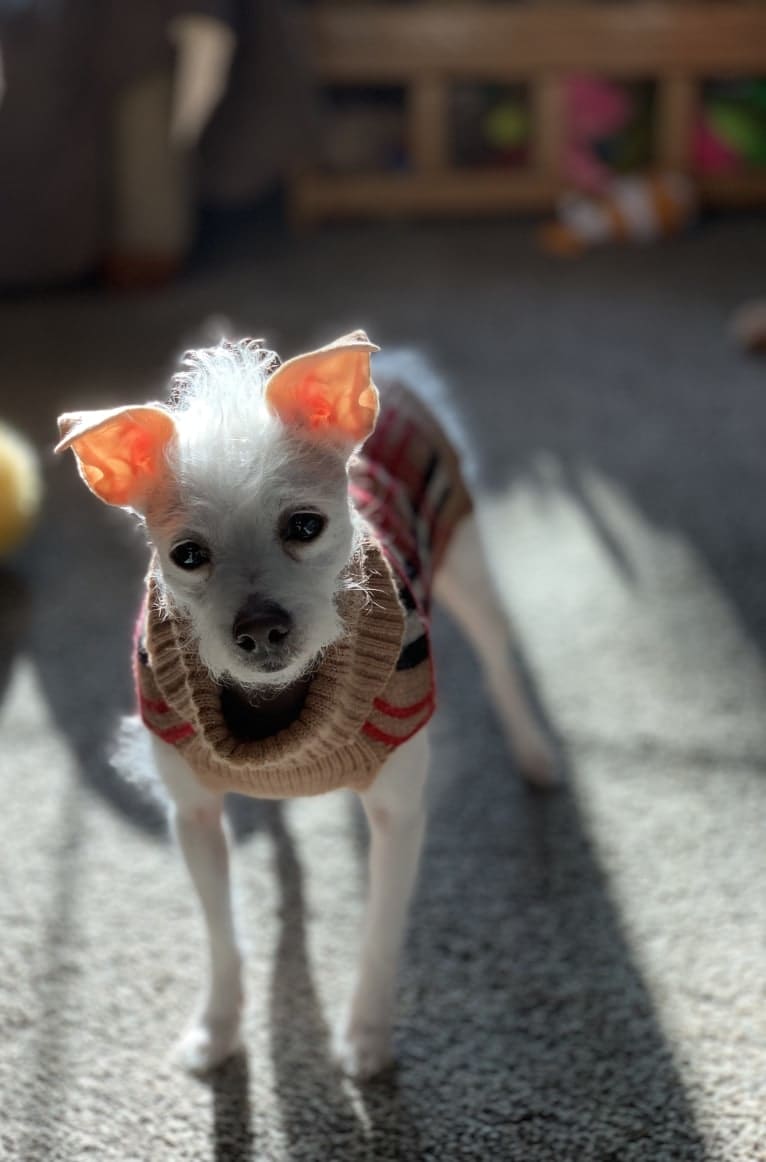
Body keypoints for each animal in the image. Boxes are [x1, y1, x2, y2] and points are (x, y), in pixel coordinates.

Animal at [56, 330, 553, 1078]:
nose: (260, 628)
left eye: (305, 525)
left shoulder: (398, 816)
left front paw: (366, 1040)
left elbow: (379, 935)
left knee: (501, 662)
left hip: (468, 569)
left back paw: (535, 754)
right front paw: (217, 1030)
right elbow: (221, 938)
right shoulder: (192, 818)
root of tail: (395, 371)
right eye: (187, 555)